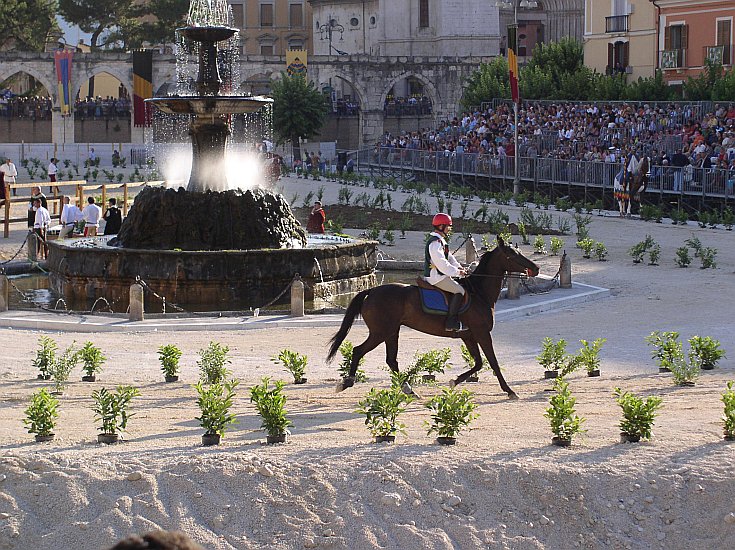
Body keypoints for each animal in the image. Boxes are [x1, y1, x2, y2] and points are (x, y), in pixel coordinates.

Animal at [328, 239, 540, 398]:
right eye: (512, 255)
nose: (536, 268)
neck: (479, 292)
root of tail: (371, 291)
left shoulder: (469, 335)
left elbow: (479, 363)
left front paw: (454, 381)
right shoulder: (481, 333)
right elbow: (492, 362)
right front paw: (509, 390)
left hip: (391, 331)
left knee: (391, 360)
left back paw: (408, 390)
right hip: (381, 332)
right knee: (358, 351)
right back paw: (347, 382)